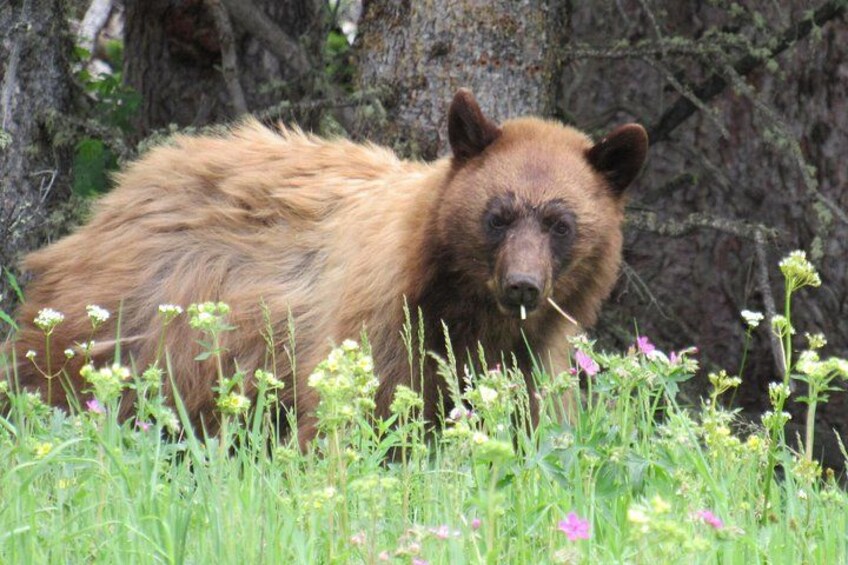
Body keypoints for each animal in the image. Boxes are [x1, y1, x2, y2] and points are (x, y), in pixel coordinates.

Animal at [9, 89, 648, 442]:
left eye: (561, 224)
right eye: (498, 215)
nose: (521, 287)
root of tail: (114, 198)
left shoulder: (527, 360)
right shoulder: (377, 322)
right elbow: (352, 419)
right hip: (125, 323)